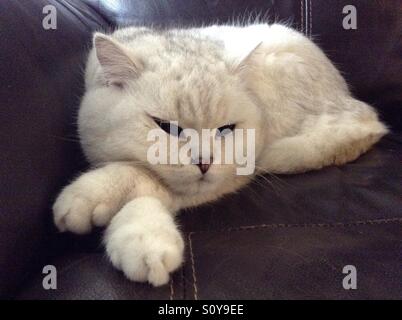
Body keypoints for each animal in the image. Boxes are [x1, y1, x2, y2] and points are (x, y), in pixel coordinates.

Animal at [52, 23, 386, 286]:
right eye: (167, 128)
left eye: (226, 130)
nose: (204, 162)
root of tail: (349, 100)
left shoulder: (228, 175)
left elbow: (143, 179)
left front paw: (96, 201)